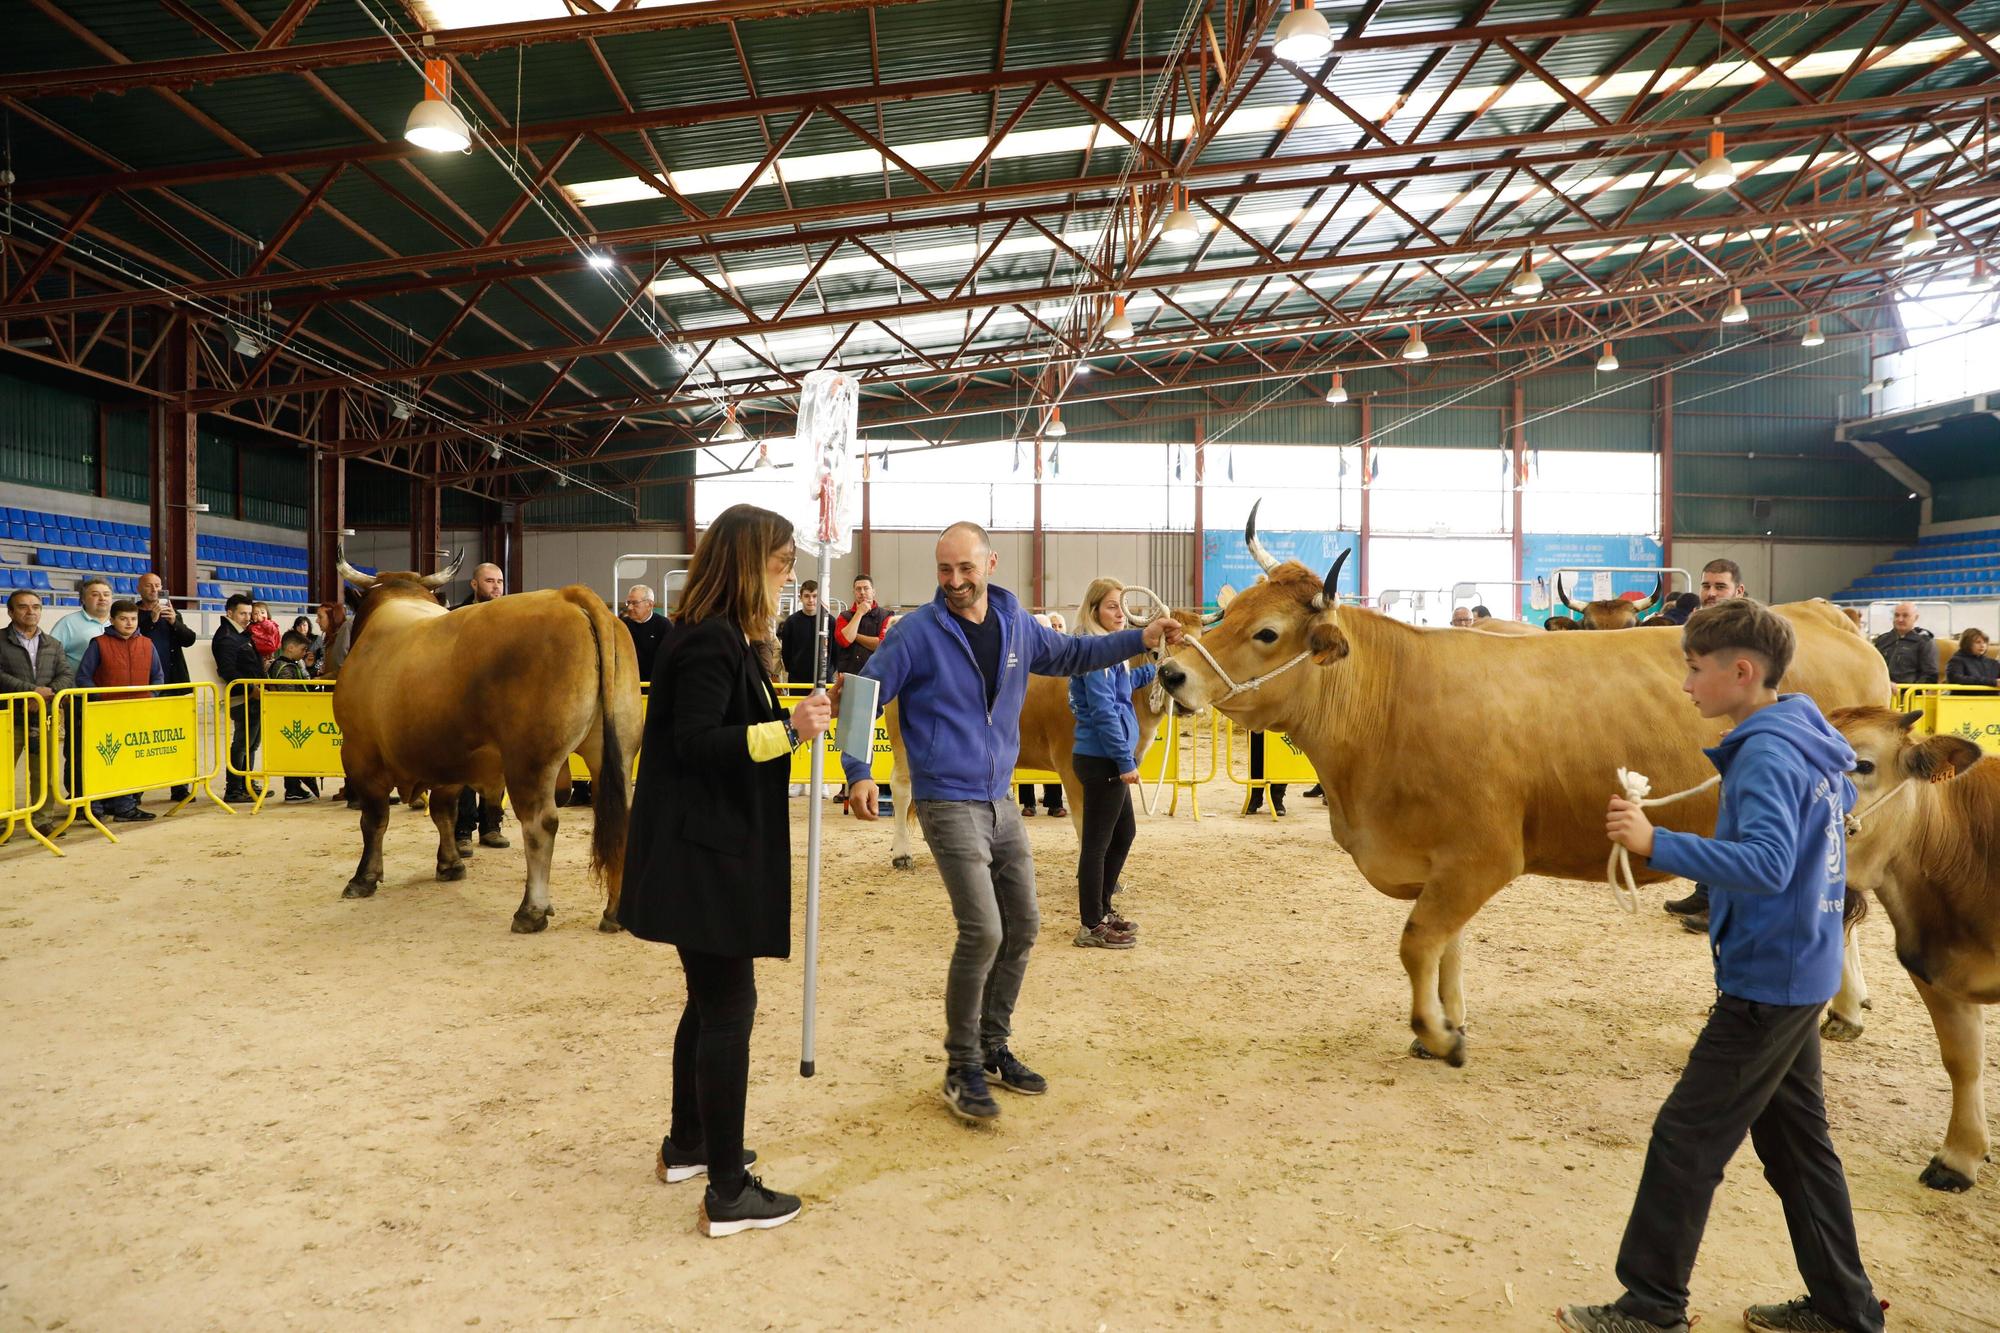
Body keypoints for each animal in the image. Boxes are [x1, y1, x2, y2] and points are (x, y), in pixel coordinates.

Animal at [332, 556, 636, 928]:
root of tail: (566, 596)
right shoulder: (448, 760)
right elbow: (444, 812)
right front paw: (450, 863)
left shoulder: (359, 752)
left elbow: (374, 820)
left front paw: (364, 877)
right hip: (614, 750)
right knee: (619, 817)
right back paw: (614, 912)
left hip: (529, 760)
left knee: (540, 823)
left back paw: (532, 909)